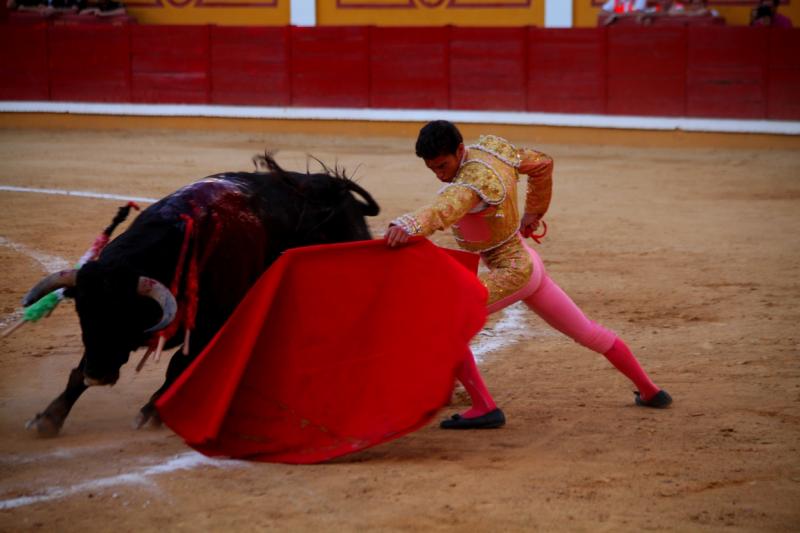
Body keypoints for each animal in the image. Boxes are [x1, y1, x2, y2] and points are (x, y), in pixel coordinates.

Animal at [20, 154, 380, 436]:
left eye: (126, 314)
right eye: (82, 313)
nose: (97, 375)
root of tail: (337, 189)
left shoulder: (209, 324)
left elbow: (177, 365)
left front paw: (151, 412)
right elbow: (76, 373)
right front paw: (49, 418)